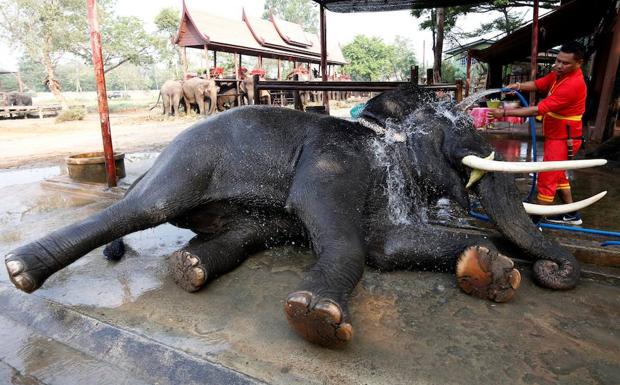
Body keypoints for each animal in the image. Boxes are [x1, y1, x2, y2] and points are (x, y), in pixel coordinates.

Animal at [4, 84, 604, 348]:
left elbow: (386, 246)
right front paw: (315, 318)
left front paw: (491, 271)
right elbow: (343, 235)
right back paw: (22, 271)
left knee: (247, 232)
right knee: (143, 208)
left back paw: (191, 269)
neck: (382, 130)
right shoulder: (333, 162)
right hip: (187, 164)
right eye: (459, 129)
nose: (553, 270)